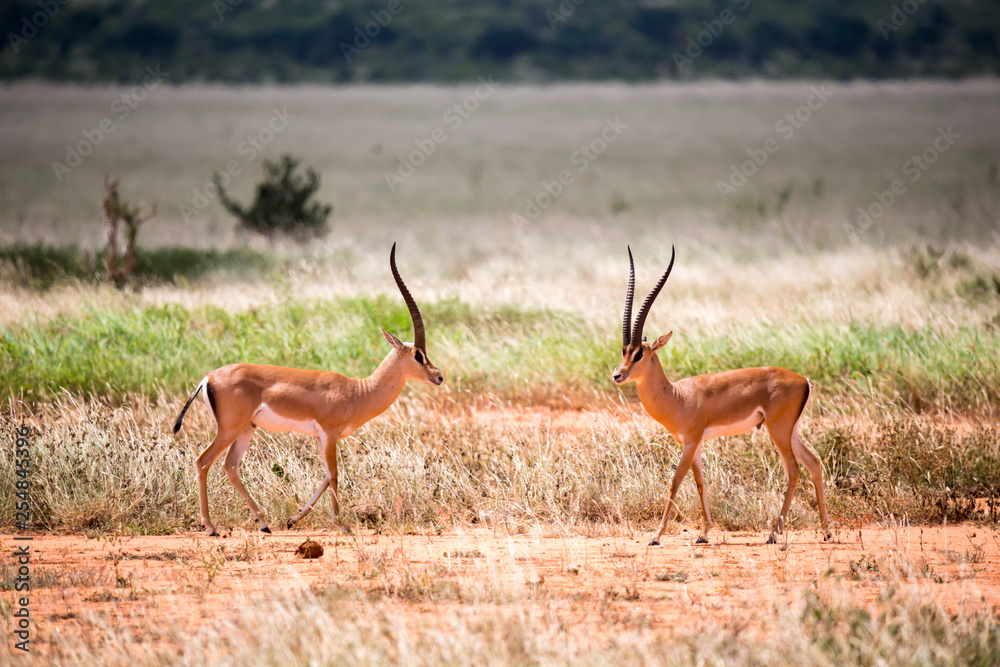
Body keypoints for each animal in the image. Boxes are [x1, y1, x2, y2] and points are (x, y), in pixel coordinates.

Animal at [173, 244, 444, 536]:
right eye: (418, 355)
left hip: (246, 429)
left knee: (230, 466)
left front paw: (294, 518)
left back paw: (264, 524)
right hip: (229, 429)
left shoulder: (319, 437)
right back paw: (211, 527)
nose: (438, 376)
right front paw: (341, 524)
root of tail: (207, 378)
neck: (358, 391)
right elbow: (334, 475)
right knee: (203, 462)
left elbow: (325, 477)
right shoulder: (329, 435)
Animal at [613, 246, 831, 546]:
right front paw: (704, 533)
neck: (677, 397)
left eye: (639, 354)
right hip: (791, 431)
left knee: (794, 469)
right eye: (624, 350)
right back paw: (826, 531)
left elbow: (675, 483)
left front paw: (656, 536)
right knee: (814, 463)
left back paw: (774, 534)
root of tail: (804, 380)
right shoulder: (695, 446)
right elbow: (701, 483)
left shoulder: (690, 443)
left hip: (778, 431)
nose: (617, 375)